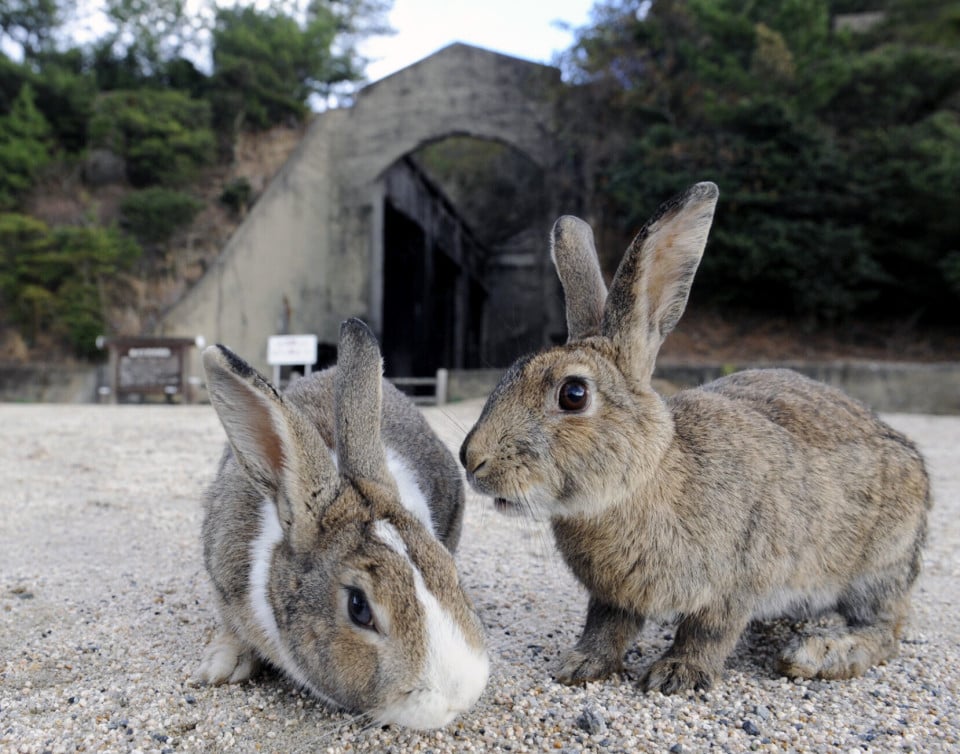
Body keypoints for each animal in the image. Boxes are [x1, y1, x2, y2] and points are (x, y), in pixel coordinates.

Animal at [458, 182, 928, 692]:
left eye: (574, 394)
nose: (471, 459)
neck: (644, 481)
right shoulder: (614, 595)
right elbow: (605, 626)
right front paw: (581, 666)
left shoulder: (738, 578)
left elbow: (708, 631)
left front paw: (676, 675)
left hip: (877, 566)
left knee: (885, 629)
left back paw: (817, 652)